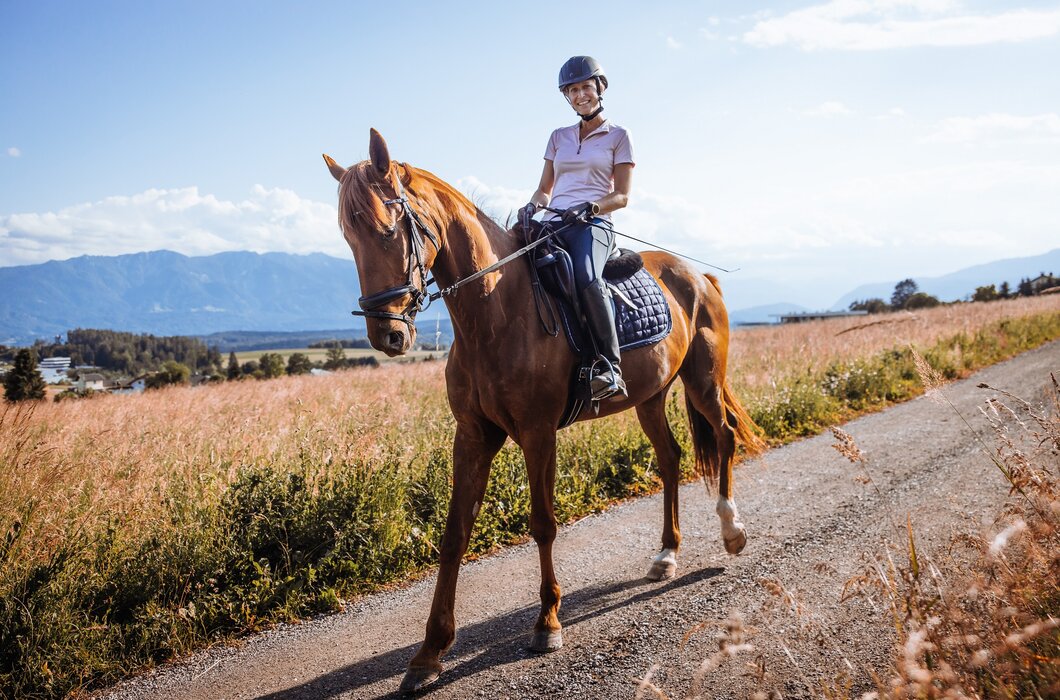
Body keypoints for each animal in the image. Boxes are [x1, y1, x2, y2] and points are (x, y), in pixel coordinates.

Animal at [322, 128, 763, 691]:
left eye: (388, 229)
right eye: (348, 238)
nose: (388, 336)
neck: (495, 310)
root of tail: (699, 275)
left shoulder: (537, 432)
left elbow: (543, 523)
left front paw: (548, 622)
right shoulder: (472, 435)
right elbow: (454, 533)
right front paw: (429, 652)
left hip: (704, 380)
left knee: (724, 436)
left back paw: (732, 532)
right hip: (649, 397)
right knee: (670, 459)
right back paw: (666, 554)